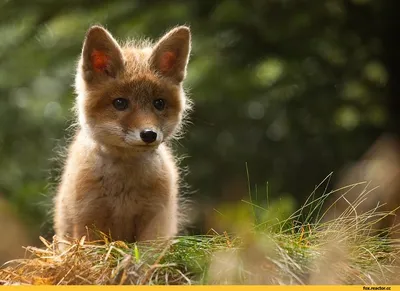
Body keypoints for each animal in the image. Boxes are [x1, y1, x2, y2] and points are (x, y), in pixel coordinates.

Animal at [54, 25, 191, 244]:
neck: (124, 187)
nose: (149, 134)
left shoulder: (154, 220)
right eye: (120, 103)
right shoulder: (89, 219)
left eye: (159, 103)